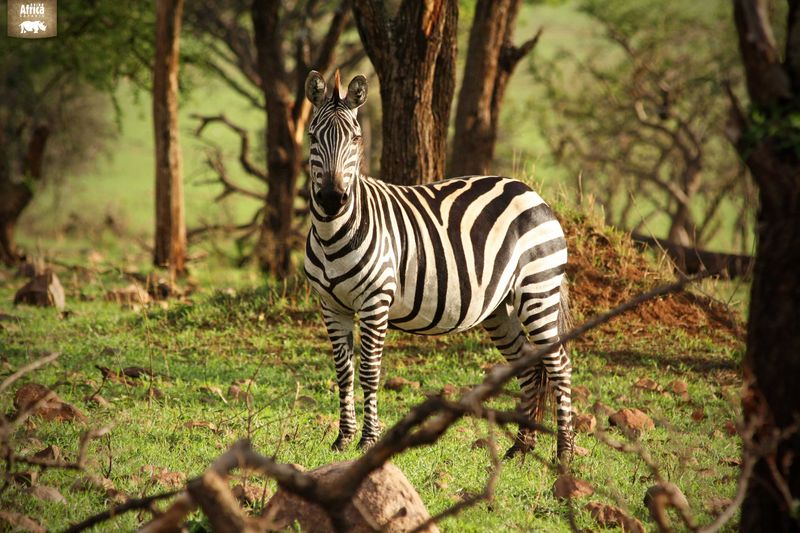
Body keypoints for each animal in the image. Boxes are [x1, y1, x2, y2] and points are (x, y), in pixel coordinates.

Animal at [303, 70, 574, 462]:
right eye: (312, 136)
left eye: (355, 139)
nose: (331, 198)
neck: (332, 234)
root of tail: (530, 191)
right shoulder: (331, 305)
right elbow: (344, 372)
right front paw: (342, 438)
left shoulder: (374, 302)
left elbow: (368, 371)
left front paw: (368, 440)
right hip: (501, 307)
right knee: (532, 365)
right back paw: (520, 447)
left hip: (538, 289)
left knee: (559, 365)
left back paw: (564, 452)